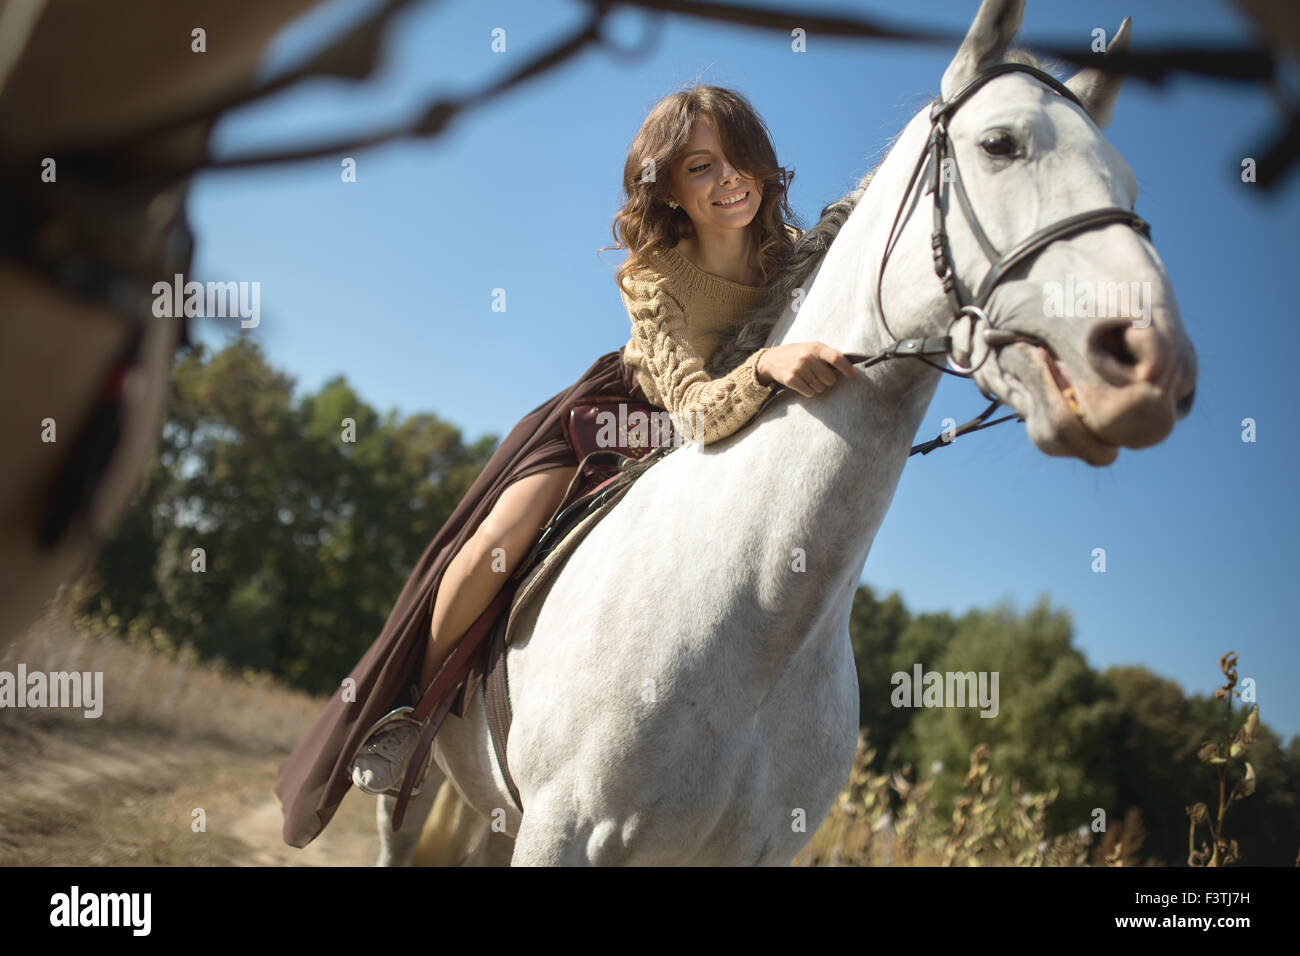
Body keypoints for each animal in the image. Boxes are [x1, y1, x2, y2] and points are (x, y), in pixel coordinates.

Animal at [379, 0, 1201, 868]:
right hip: (417, 801)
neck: (761, 616)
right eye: (999, 144)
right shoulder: (561, 830)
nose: (1153, 366)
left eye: (1130, 182)